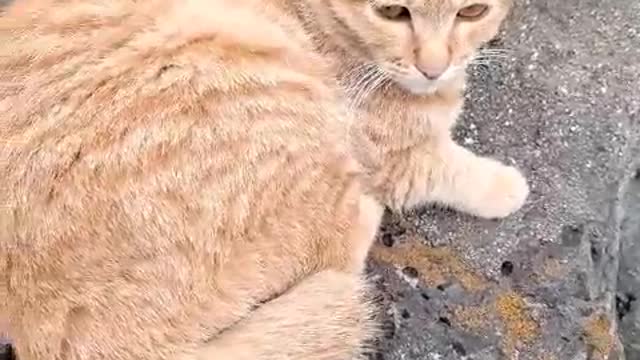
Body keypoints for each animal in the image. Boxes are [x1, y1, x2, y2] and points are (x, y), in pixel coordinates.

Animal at [292, 0, 528, 218]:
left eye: (473, 10)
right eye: (391, 11)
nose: (433, 70)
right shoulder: (386, 165)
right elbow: (449, 171)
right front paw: (504, 187)